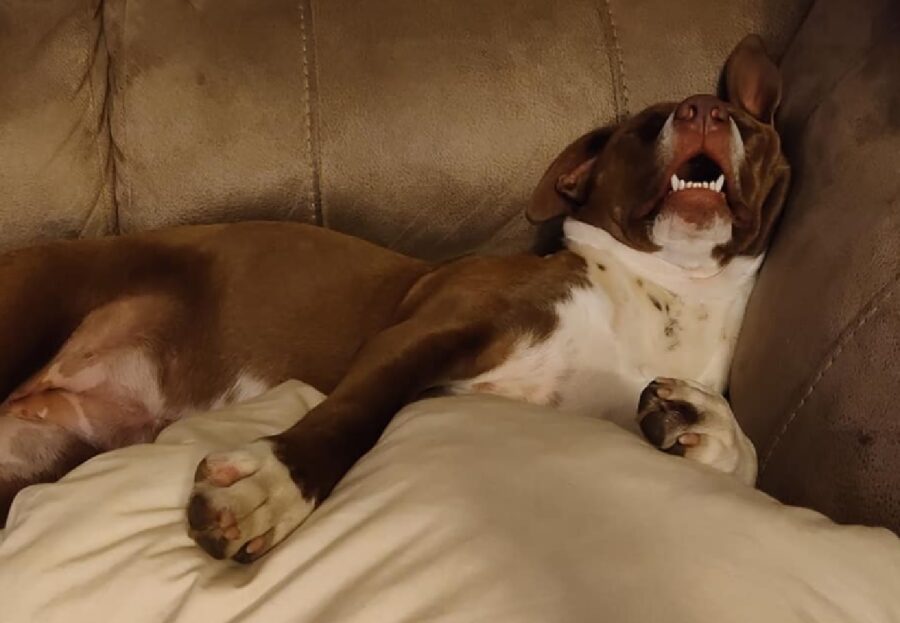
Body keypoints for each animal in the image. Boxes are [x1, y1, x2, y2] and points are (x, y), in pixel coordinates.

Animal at [0, 34, 788, 564]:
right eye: (642, 127)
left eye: (747, 126)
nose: (703, 111)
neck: (666, 292)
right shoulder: (433, 328)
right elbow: (354, 412)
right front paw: (273, 486)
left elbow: (741, 458)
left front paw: (702, 422)